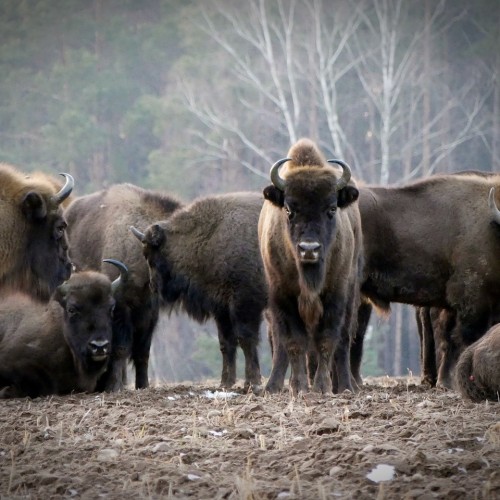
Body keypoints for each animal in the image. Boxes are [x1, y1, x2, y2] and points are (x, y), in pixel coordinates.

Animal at [64, 183, 184, 390]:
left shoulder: (149, 311)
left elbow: (143, 352)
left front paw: (143, 385)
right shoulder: (121, 307)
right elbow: (120, 348)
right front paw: (114, 387)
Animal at [131, 191, 268, 390]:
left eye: (151, 256)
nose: (153, 286)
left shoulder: (245, 304)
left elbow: (246, 339)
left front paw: (253, 383)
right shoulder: (221, 308)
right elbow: (226, 342)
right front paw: (225, 383)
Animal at [258, 139, 364, 396]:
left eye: (332, 209)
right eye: (288, 209)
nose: (309, 249)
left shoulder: (335, 294)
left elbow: (327, 340)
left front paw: (323, 387)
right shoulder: (283, 295)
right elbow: (294, 341)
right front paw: (300, 387)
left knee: (343, 340)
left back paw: (346, 386)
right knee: (282, 343)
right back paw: (274, 386)